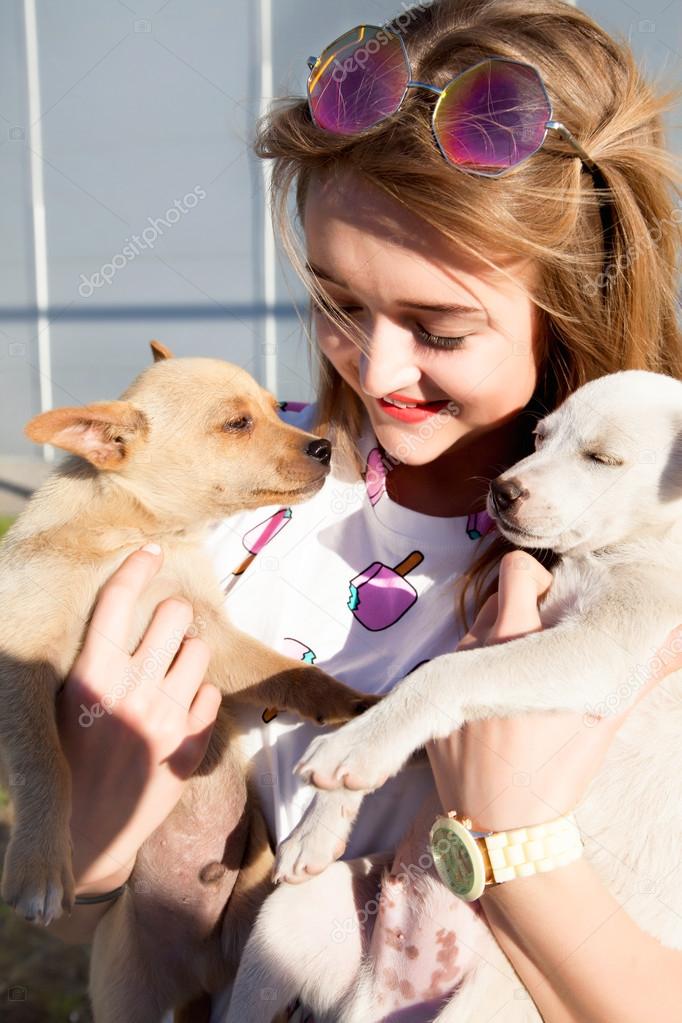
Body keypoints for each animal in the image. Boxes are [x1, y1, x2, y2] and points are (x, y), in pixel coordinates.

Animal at [0, 341, 374, 1014]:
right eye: (237, 424)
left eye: (275, 408)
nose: (323, 448)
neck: (137, 533)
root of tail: (198, 973)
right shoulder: (23, 659)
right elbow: (45, 762)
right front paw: (38, 865)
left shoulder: (210, 638)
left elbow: (283, 671)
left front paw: (346, 701)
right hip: (128, 995)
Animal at [223, 374, 682, 1023]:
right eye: (539, 438)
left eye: (602, 459)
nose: (502, 491)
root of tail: (378, 994)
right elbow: (403, 702)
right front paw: (322, 819)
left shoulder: (603, 652)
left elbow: (445, 674)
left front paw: (349, 752)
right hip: (288, 923)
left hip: (494, 1008)